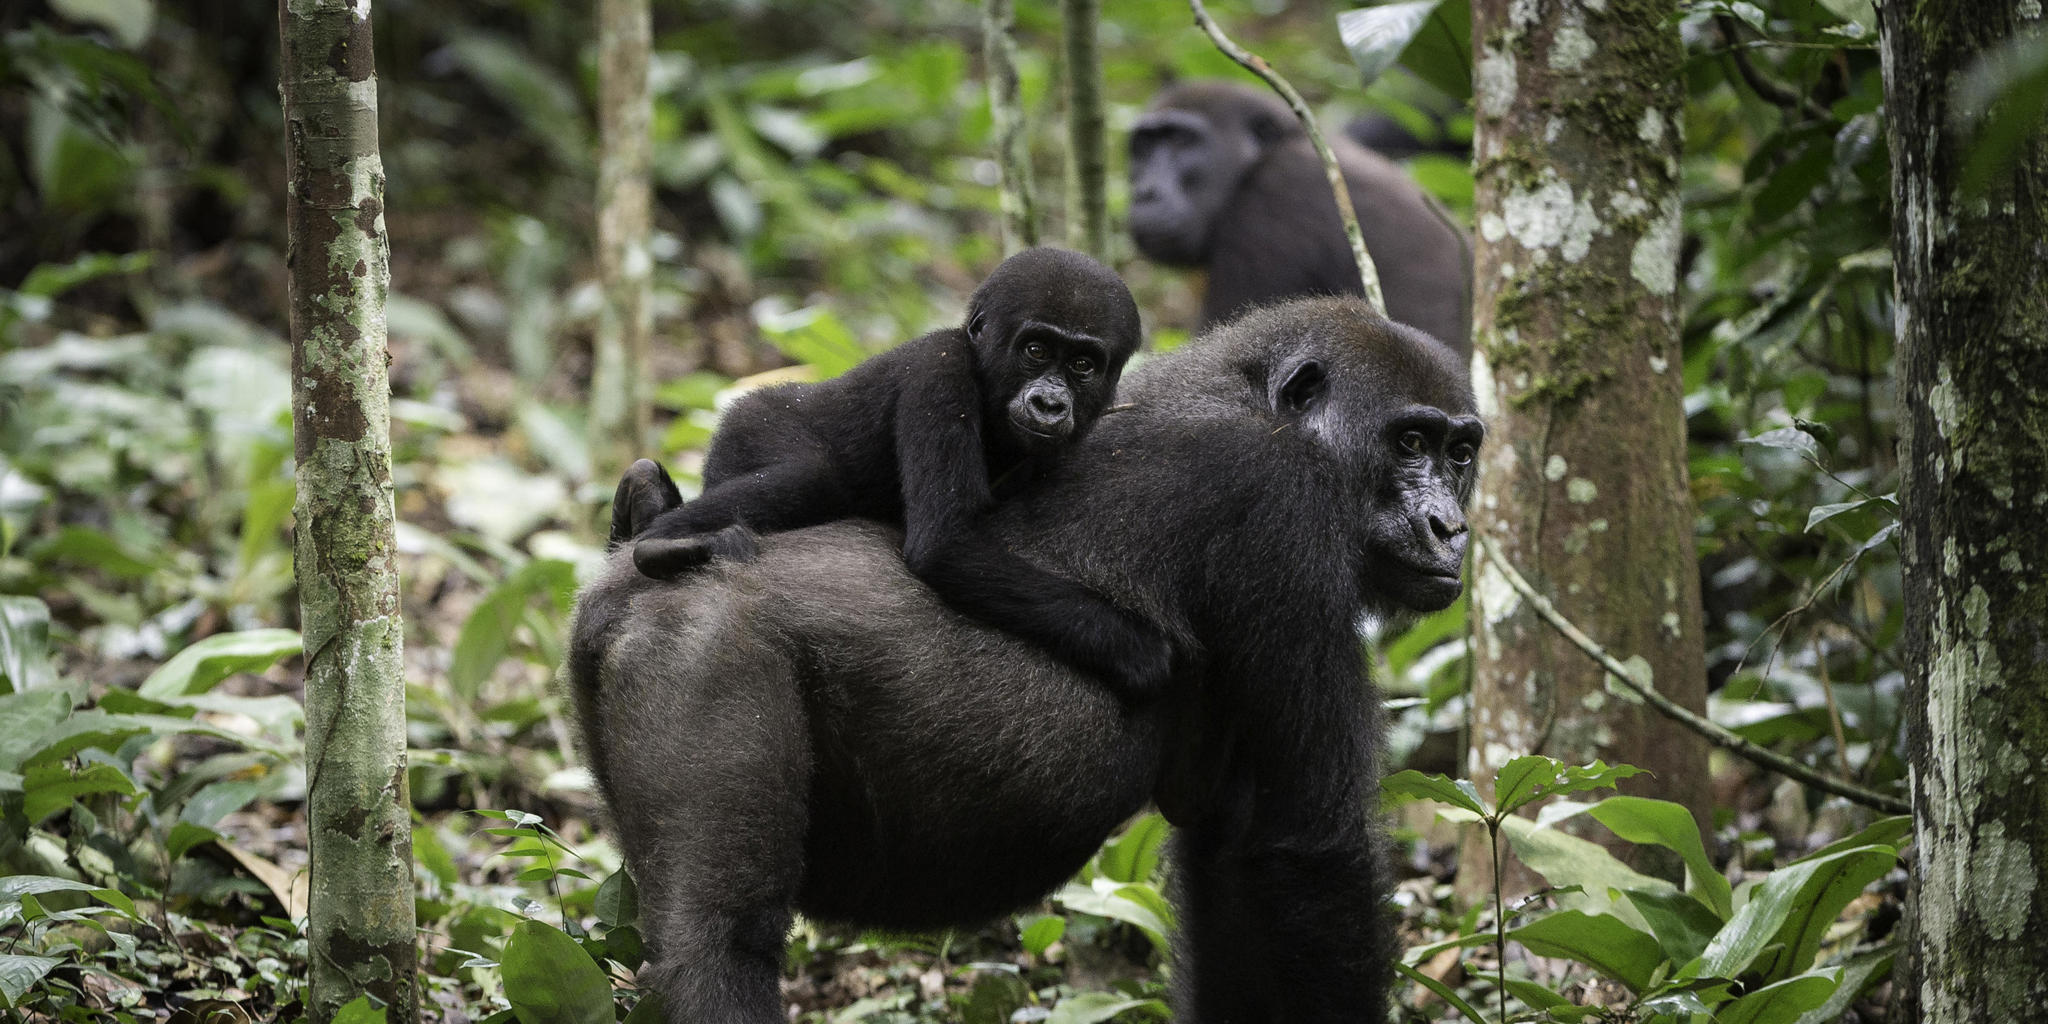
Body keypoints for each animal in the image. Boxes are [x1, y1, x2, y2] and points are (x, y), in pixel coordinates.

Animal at [569, 296, 1482, 1022]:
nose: (1451, 528)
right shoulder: (1284, 513)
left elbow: (1234, 856)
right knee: (722, 944)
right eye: (1409, 442)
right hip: (703, 651)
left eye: (1461, 453)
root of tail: (617, 582)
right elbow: (1308, 852)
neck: (1252, 391)